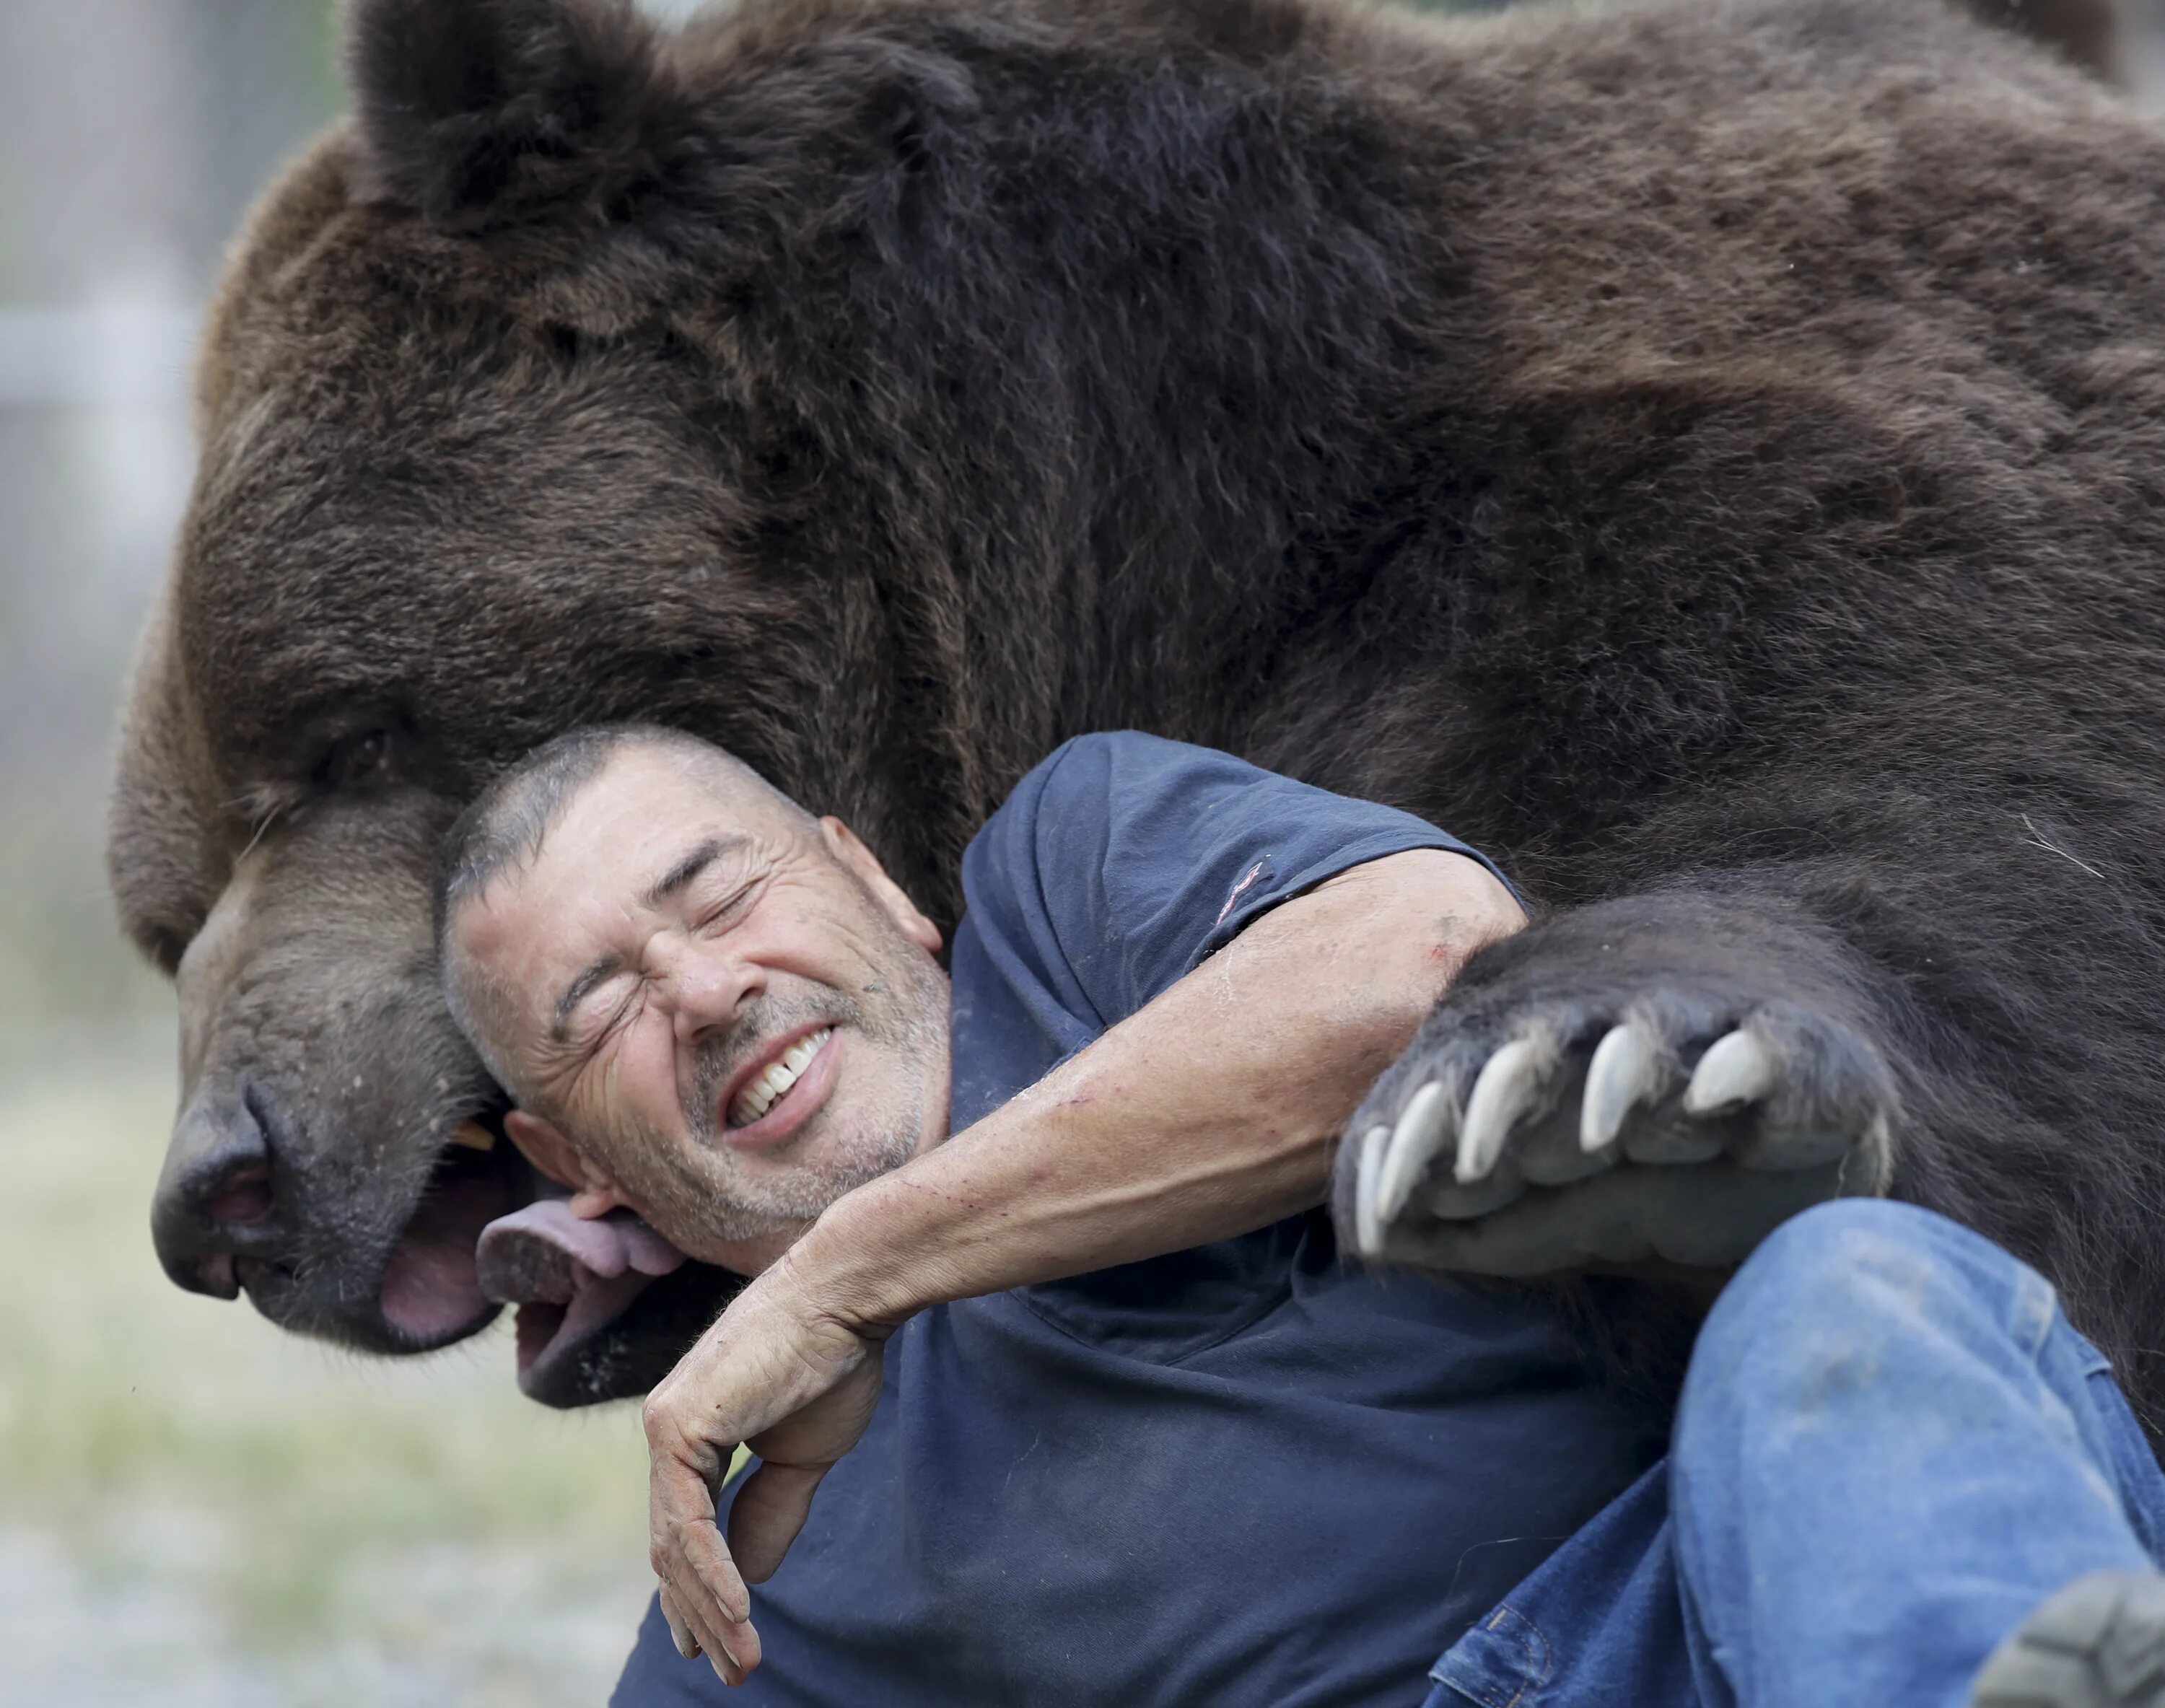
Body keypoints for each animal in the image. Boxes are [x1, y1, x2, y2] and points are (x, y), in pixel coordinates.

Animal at [110, 0, 2165, 1411]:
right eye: (163, 908)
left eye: (341, 737)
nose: (224, 1186)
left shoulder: (1773, 512)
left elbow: (1939, 839)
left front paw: (1585, 1087)